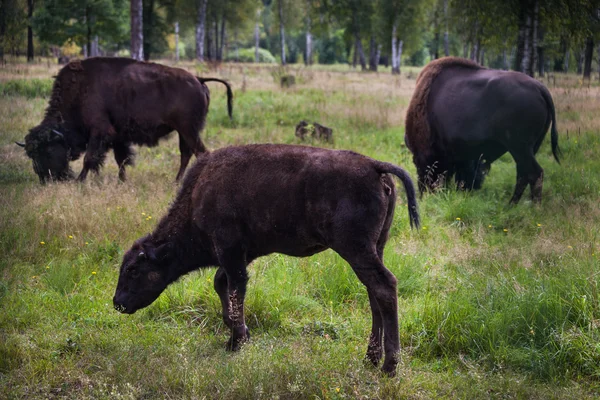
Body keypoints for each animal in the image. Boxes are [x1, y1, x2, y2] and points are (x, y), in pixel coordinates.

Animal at [16, 56, 232, 184]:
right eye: (31, 155)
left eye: (49, 150)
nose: (47, 179)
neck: (79, 91)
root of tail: (198, 79)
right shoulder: (118, 136)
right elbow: (121, 159)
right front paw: (121, 181)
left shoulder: (99, 131)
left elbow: (90, 158)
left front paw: (80, 181)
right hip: (183, 131)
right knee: (186, 154)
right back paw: (176, 182)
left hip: (188, 130)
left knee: (200, 153)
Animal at [113, 144, 422, 376]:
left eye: (133, 269)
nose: (118, 303)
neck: (200, 192)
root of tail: (374, 166)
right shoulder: (242, 254)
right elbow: (222, 286)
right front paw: (240, 335)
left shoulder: (231, 253)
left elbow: (235, 291)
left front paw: (236, 342)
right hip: (375, 248)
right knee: (374, 295)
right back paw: (370, 359)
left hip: (356, 250)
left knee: (384, 287)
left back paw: (389, 367)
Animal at [406, 56, 560, 203]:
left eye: (419, 163)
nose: (425, 191)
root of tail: (540, 88)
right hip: (530, 148)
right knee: (523, 174)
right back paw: (511, 206)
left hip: (519, 147)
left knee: (534, 173)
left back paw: (532, 206)